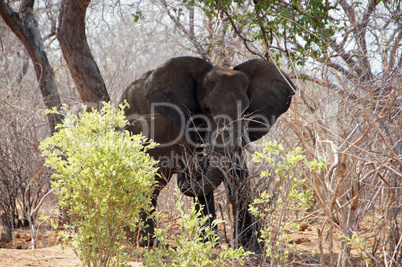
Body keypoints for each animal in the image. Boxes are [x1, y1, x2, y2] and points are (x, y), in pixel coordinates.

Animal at [119, 56, 296, 253]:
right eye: (206, 109)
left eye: (245, 110)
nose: (182, 169)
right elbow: (199, 177)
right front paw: (211, 245)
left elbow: (239, 176)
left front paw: (250, 249)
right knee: (151, 183)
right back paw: (148, 243)